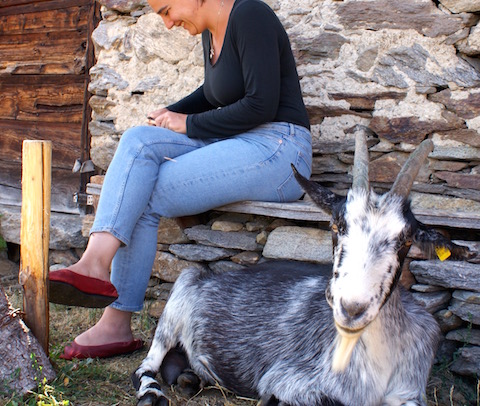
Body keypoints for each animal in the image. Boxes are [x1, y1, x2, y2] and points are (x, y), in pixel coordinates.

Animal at [132, 130, 475, 406]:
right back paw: (152, 393)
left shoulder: (410, 390)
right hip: (180, 293)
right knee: (146, 364)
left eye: (406, 240)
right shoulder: (286, 379)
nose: (352, 309)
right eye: (336, 226)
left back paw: (191, 377)